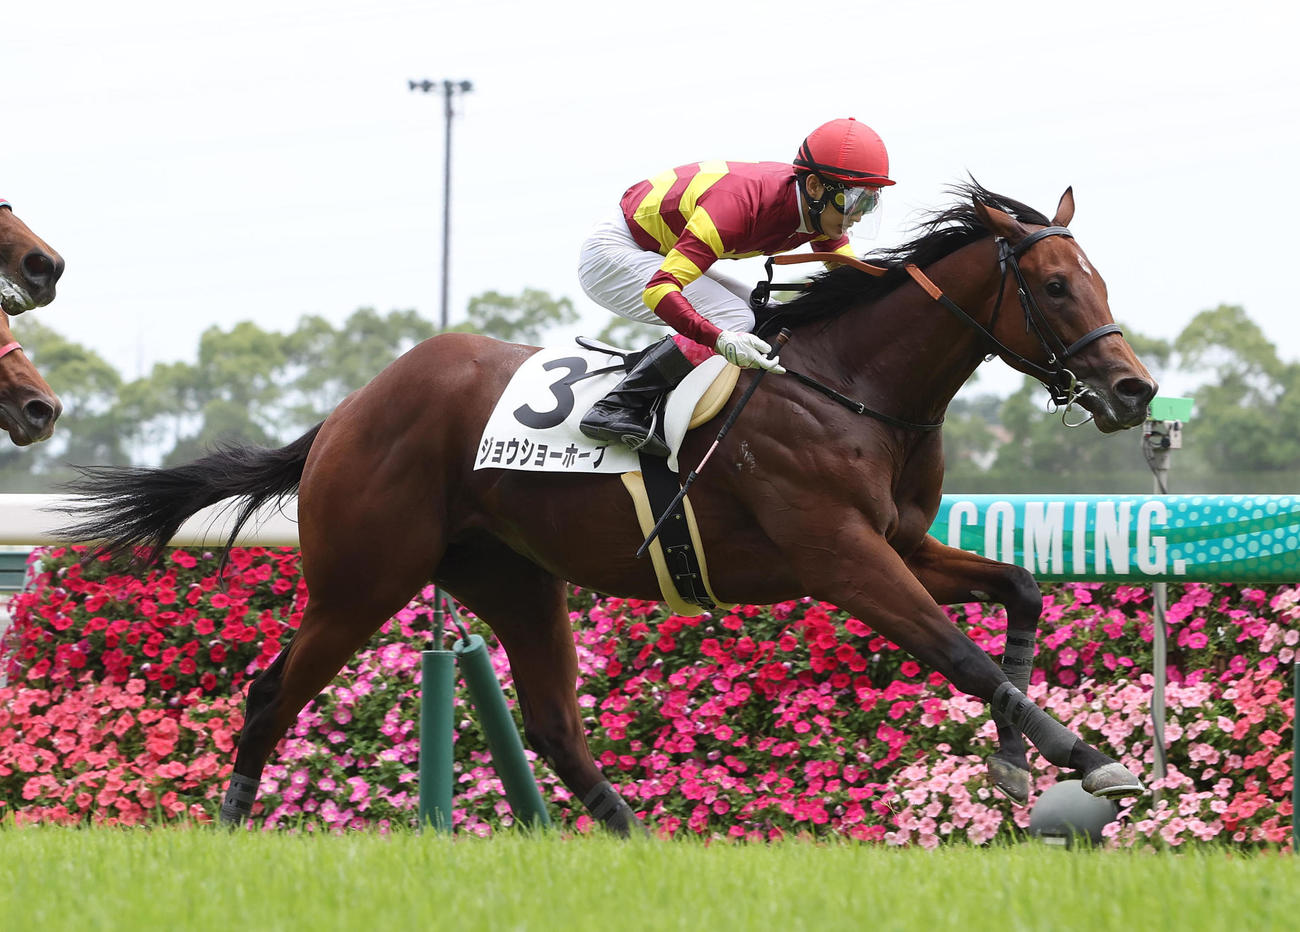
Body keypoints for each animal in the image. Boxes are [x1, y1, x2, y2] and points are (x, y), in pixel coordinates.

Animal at [62, 182, 1157, 833]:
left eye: (1099, 277)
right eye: (1056, 284)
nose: (1133, 388)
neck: (851, 385)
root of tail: (346, 413)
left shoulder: (899, 541)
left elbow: (1018, 592)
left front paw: (1019, 766)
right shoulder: (843, 557)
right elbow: (959, 653)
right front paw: (1090, 760)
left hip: (511, 576)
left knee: (552, 723)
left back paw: (635, 841)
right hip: (361, 578)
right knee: (270, 692)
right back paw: (231, 818)